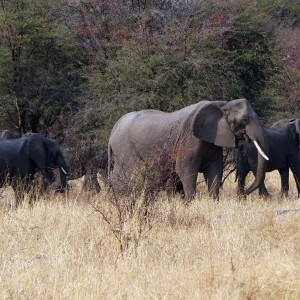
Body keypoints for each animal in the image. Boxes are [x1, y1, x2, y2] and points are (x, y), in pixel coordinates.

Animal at [108, 98, 270, 200]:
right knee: (130, 174)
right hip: (125, 148)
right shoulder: (190, 139)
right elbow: (186, 169)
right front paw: (189, 203)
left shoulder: (212, 140)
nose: (243, 195)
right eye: (244, 121)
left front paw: (213, 202)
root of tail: (113, 130)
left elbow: (215, 170)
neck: (222, 104)